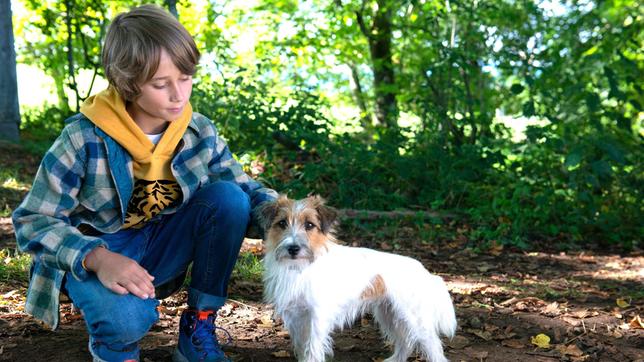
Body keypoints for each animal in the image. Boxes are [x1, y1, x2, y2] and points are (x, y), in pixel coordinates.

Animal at [256, 197, 458, 360]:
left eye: (309, 225)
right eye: (282, 223)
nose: (293, 248)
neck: (300, 268)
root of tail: (424, 271)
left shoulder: (317, 317)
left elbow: (312, 349)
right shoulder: (296, 317)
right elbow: (301, 347)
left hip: (415, 319)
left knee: (433, 347)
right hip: (389, 314)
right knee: (405, 342)